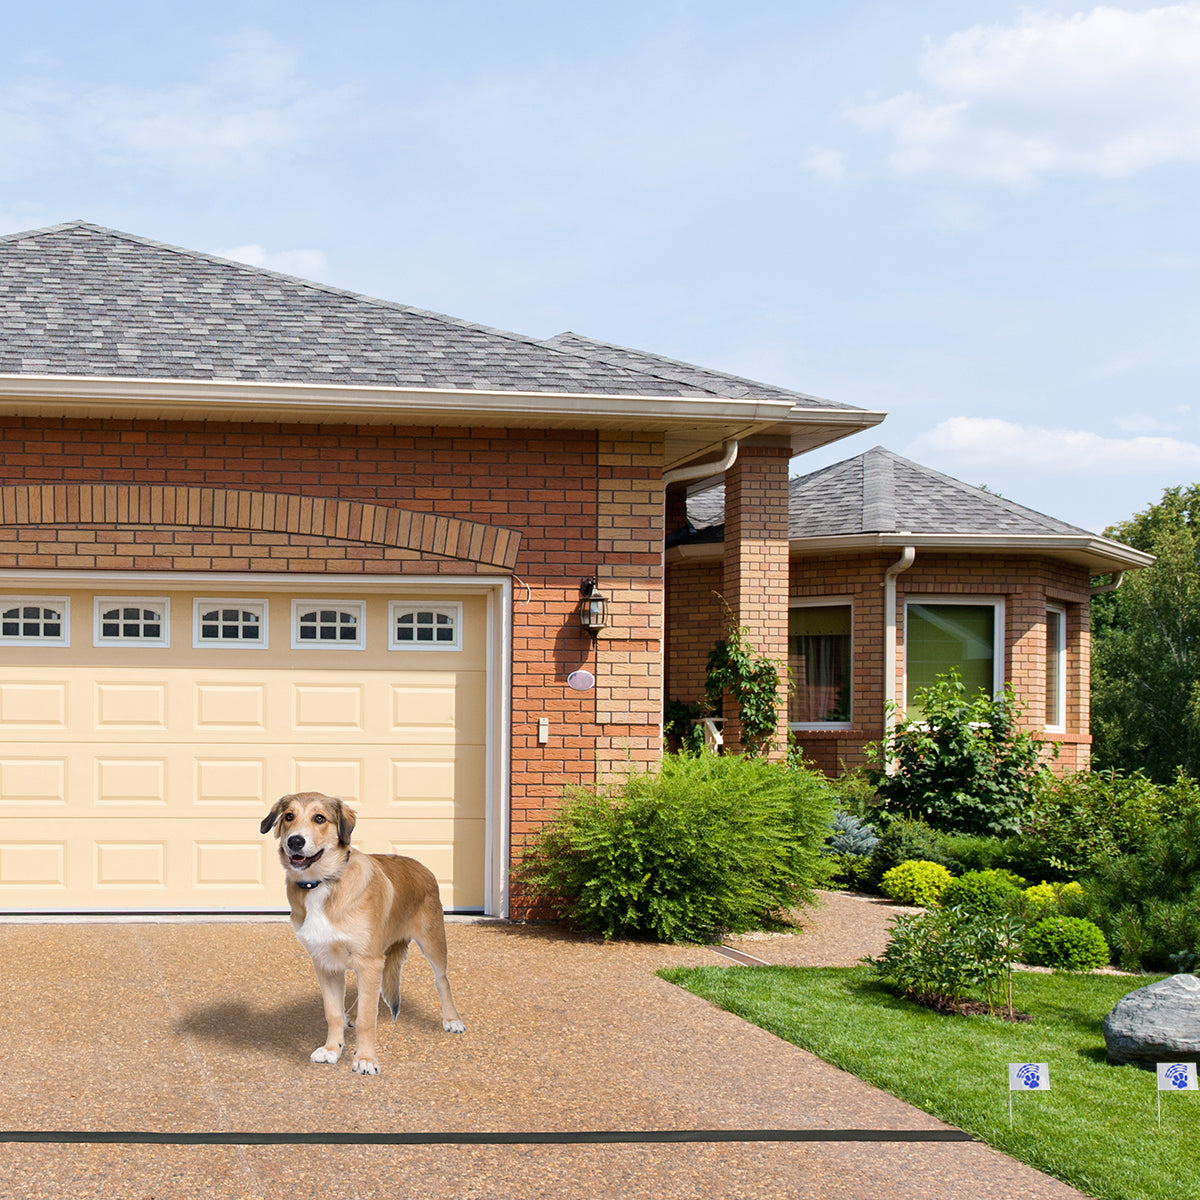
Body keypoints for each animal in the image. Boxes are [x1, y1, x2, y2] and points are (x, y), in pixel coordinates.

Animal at [261, 787, 463, 1080]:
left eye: (319, 818)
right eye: (289, 816)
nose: (295, 841)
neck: (323, 883)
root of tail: (420, 865)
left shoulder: (369, 961)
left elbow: (370, 1019)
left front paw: (365, 1059)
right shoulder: (326, 964)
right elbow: (332, 1012)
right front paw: (332, 1049)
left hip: (432, 943)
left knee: (442, 980)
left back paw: (452, 1019)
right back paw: (351, 1016)